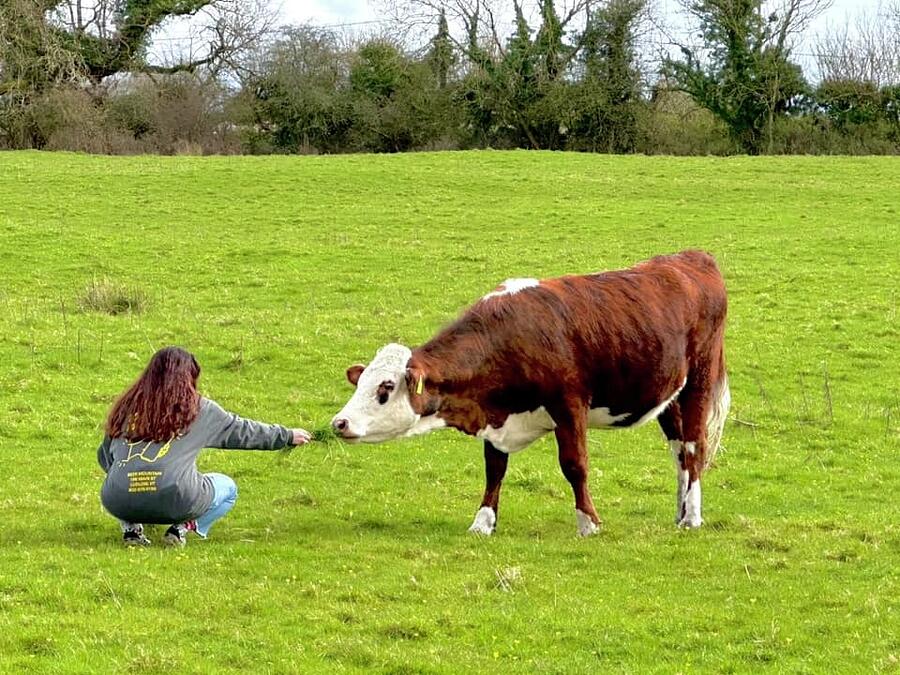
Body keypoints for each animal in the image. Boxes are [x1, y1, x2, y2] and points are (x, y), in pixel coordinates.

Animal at [330, 251, 732, 536]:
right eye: (360, 382)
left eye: (385, 387)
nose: (339, 422)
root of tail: (691, 258)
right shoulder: (494, 412)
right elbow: (494, 469)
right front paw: (483, 522)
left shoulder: (569, 405)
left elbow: (575, 465)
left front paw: (589, 522)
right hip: (668, 395)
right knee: (679, 452)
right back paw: (680, 511)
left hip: (698, 380)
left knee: (694, 447)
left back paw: (692, 516)